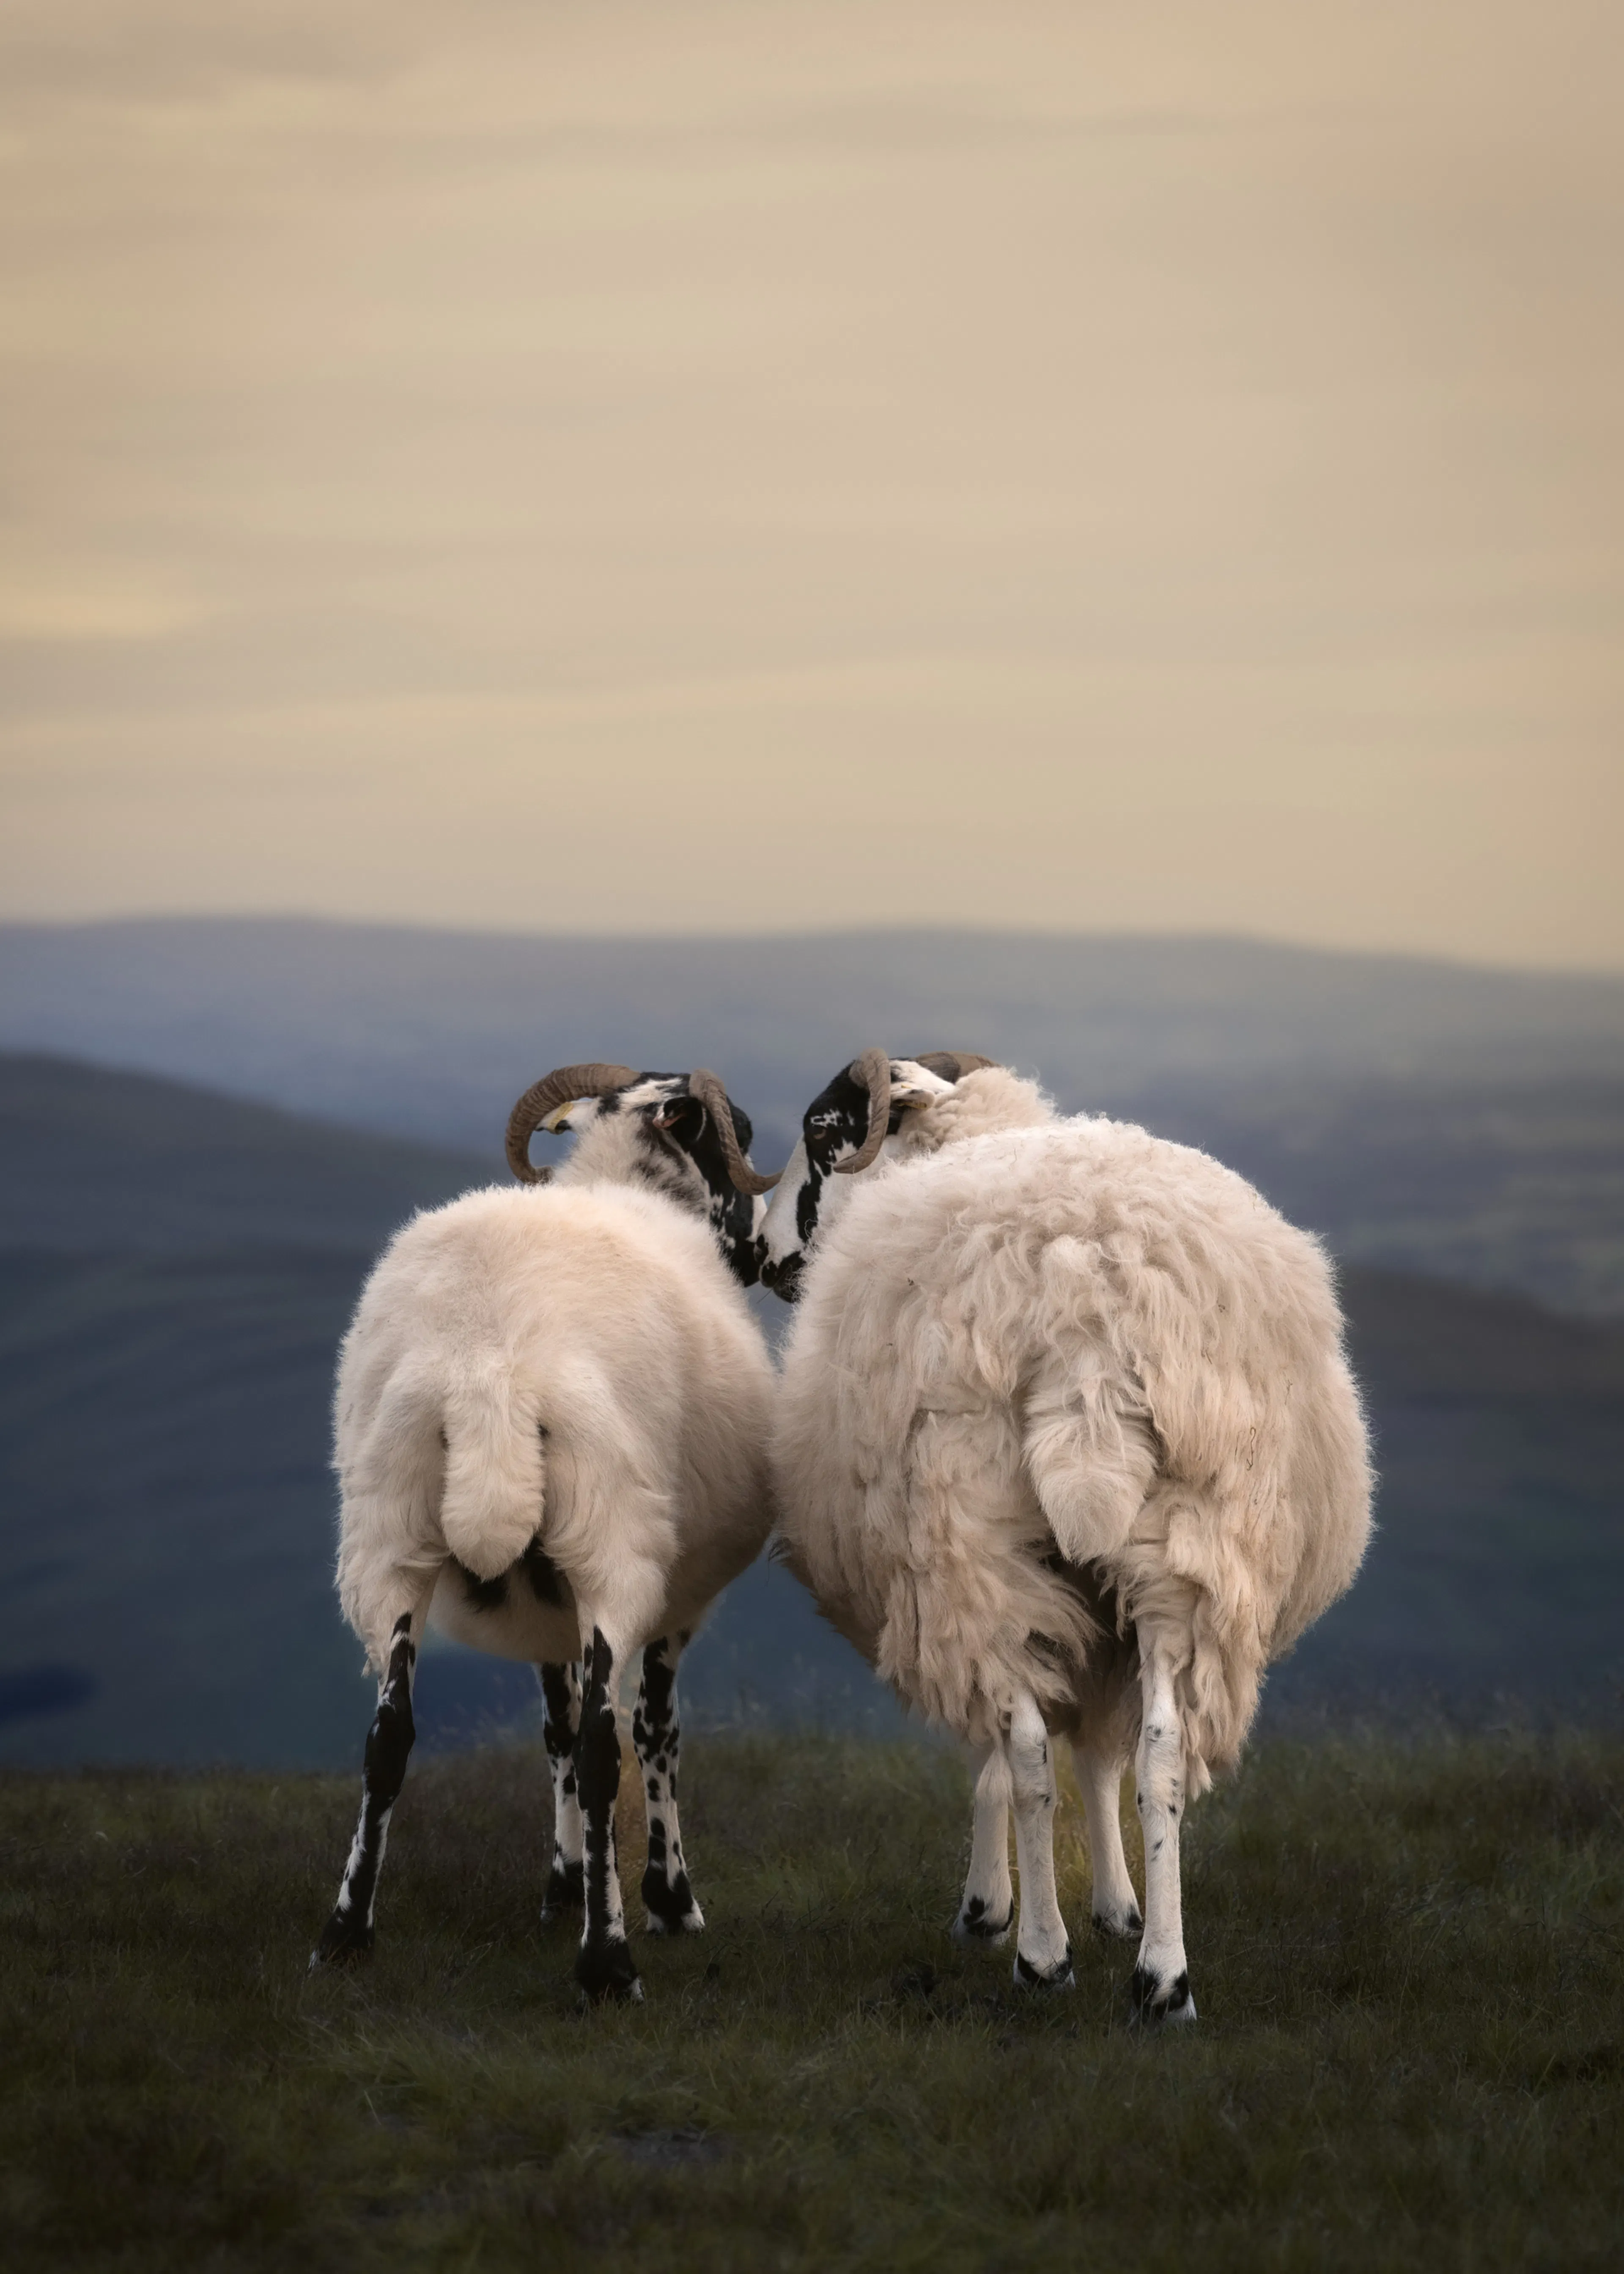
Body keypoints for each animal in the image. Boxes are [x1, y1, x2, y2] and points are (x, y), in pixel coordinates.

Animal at [311, 1061, 778, 2002]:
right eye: (736, 1132)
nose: (762, 1253)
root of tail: (486, 1369)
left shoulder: (541, 1604)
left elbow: (554, 1730)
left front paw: (564, 1886)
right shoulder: (678, 1593)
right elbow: (653, 1731)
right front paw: (667, 1900)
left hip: (389, 1532)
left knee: (389, 1734)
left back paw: (346, 1933)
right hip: (610, 1537)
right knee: (607, 1749)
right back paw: (608, 1965)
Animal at [753, 1050, 1372, 2021]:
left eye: (822, 1132)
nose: (761, 1251)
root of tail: (1086, 1313)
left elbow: (1006, 1758)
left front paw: (990, 1910)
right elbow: (1105, 1755)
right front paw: (1119, 1909)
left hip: (970, 1533)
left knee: (1028, 1753)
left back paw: (1044, 1959)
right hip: (1188, 1552)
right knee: (1160, 1757)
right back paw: (1163, 1980)